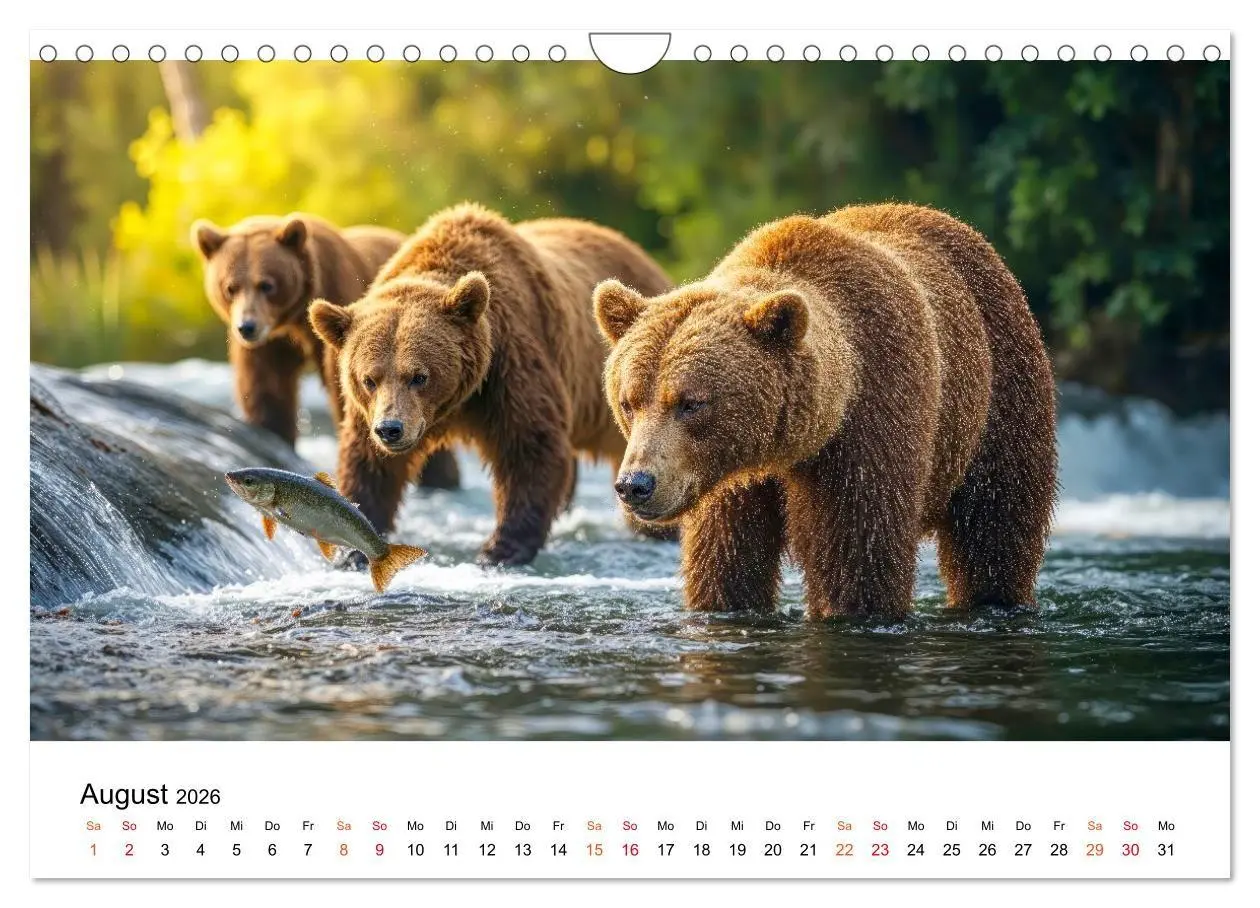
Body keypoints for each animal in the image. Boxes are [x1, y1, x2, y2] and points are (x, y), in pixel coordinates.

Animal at [192, 213, 460, 489]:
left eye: (266, 285)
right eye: (230, 287)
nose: (247, 327)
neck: (295, 318)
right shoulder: (271, 343)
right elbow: (267, 387)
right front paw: (274, 432)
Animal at [308, 203, 674, 565]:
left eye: (419, 376)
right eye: (369, 379)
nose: (391, 429)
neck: (458, 402)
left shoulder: (509, 366)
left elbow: (529, 445)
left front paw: (500, 549)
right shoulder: (367, 412)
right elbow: (369, 462)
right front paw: (353, 546)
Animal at [593, 202, 1057, 618]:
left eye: (690, 403)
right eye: (629, 401)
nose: (635, 484)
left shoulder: (872, 420)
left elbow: (858, 554)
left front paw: (852, 608)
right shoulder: (726, 482)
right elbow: (726, 559)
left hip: (1000, 391)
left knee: (995, 524)